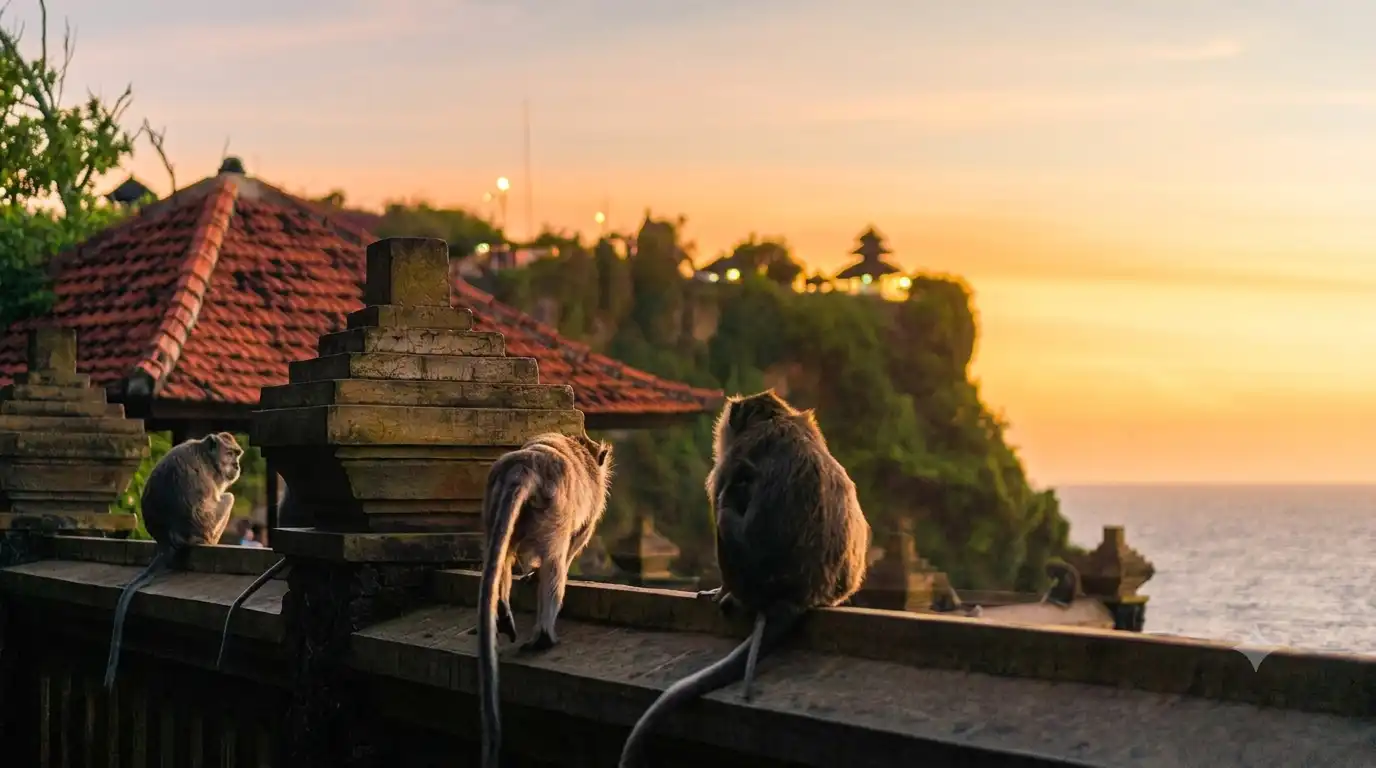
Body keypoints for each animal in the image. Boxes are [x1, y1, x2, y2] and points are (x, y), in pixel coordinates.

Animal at [104, 432, 244, 690]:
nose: (237, 465)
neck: (207, 457)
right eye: (231, 454)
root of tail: (165, 541)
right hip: (202, 530)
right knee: (228, 498)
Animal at [478, 432, 614, 768]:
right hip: (553, 514)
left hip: (497, 507)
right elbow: (575, 544)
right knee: (555, 562)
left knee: (500, 553)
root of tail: (526, 466)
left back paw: (502, 611)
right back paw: (543, 636)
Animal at [618, 390, 872, 768]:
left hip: (749, 575)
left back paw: (731, 593)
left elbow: (726, 489)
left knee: (725, 507)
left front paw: (717, 591)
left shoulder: (730, 462)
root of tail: (798, 595)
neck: (776, 418)